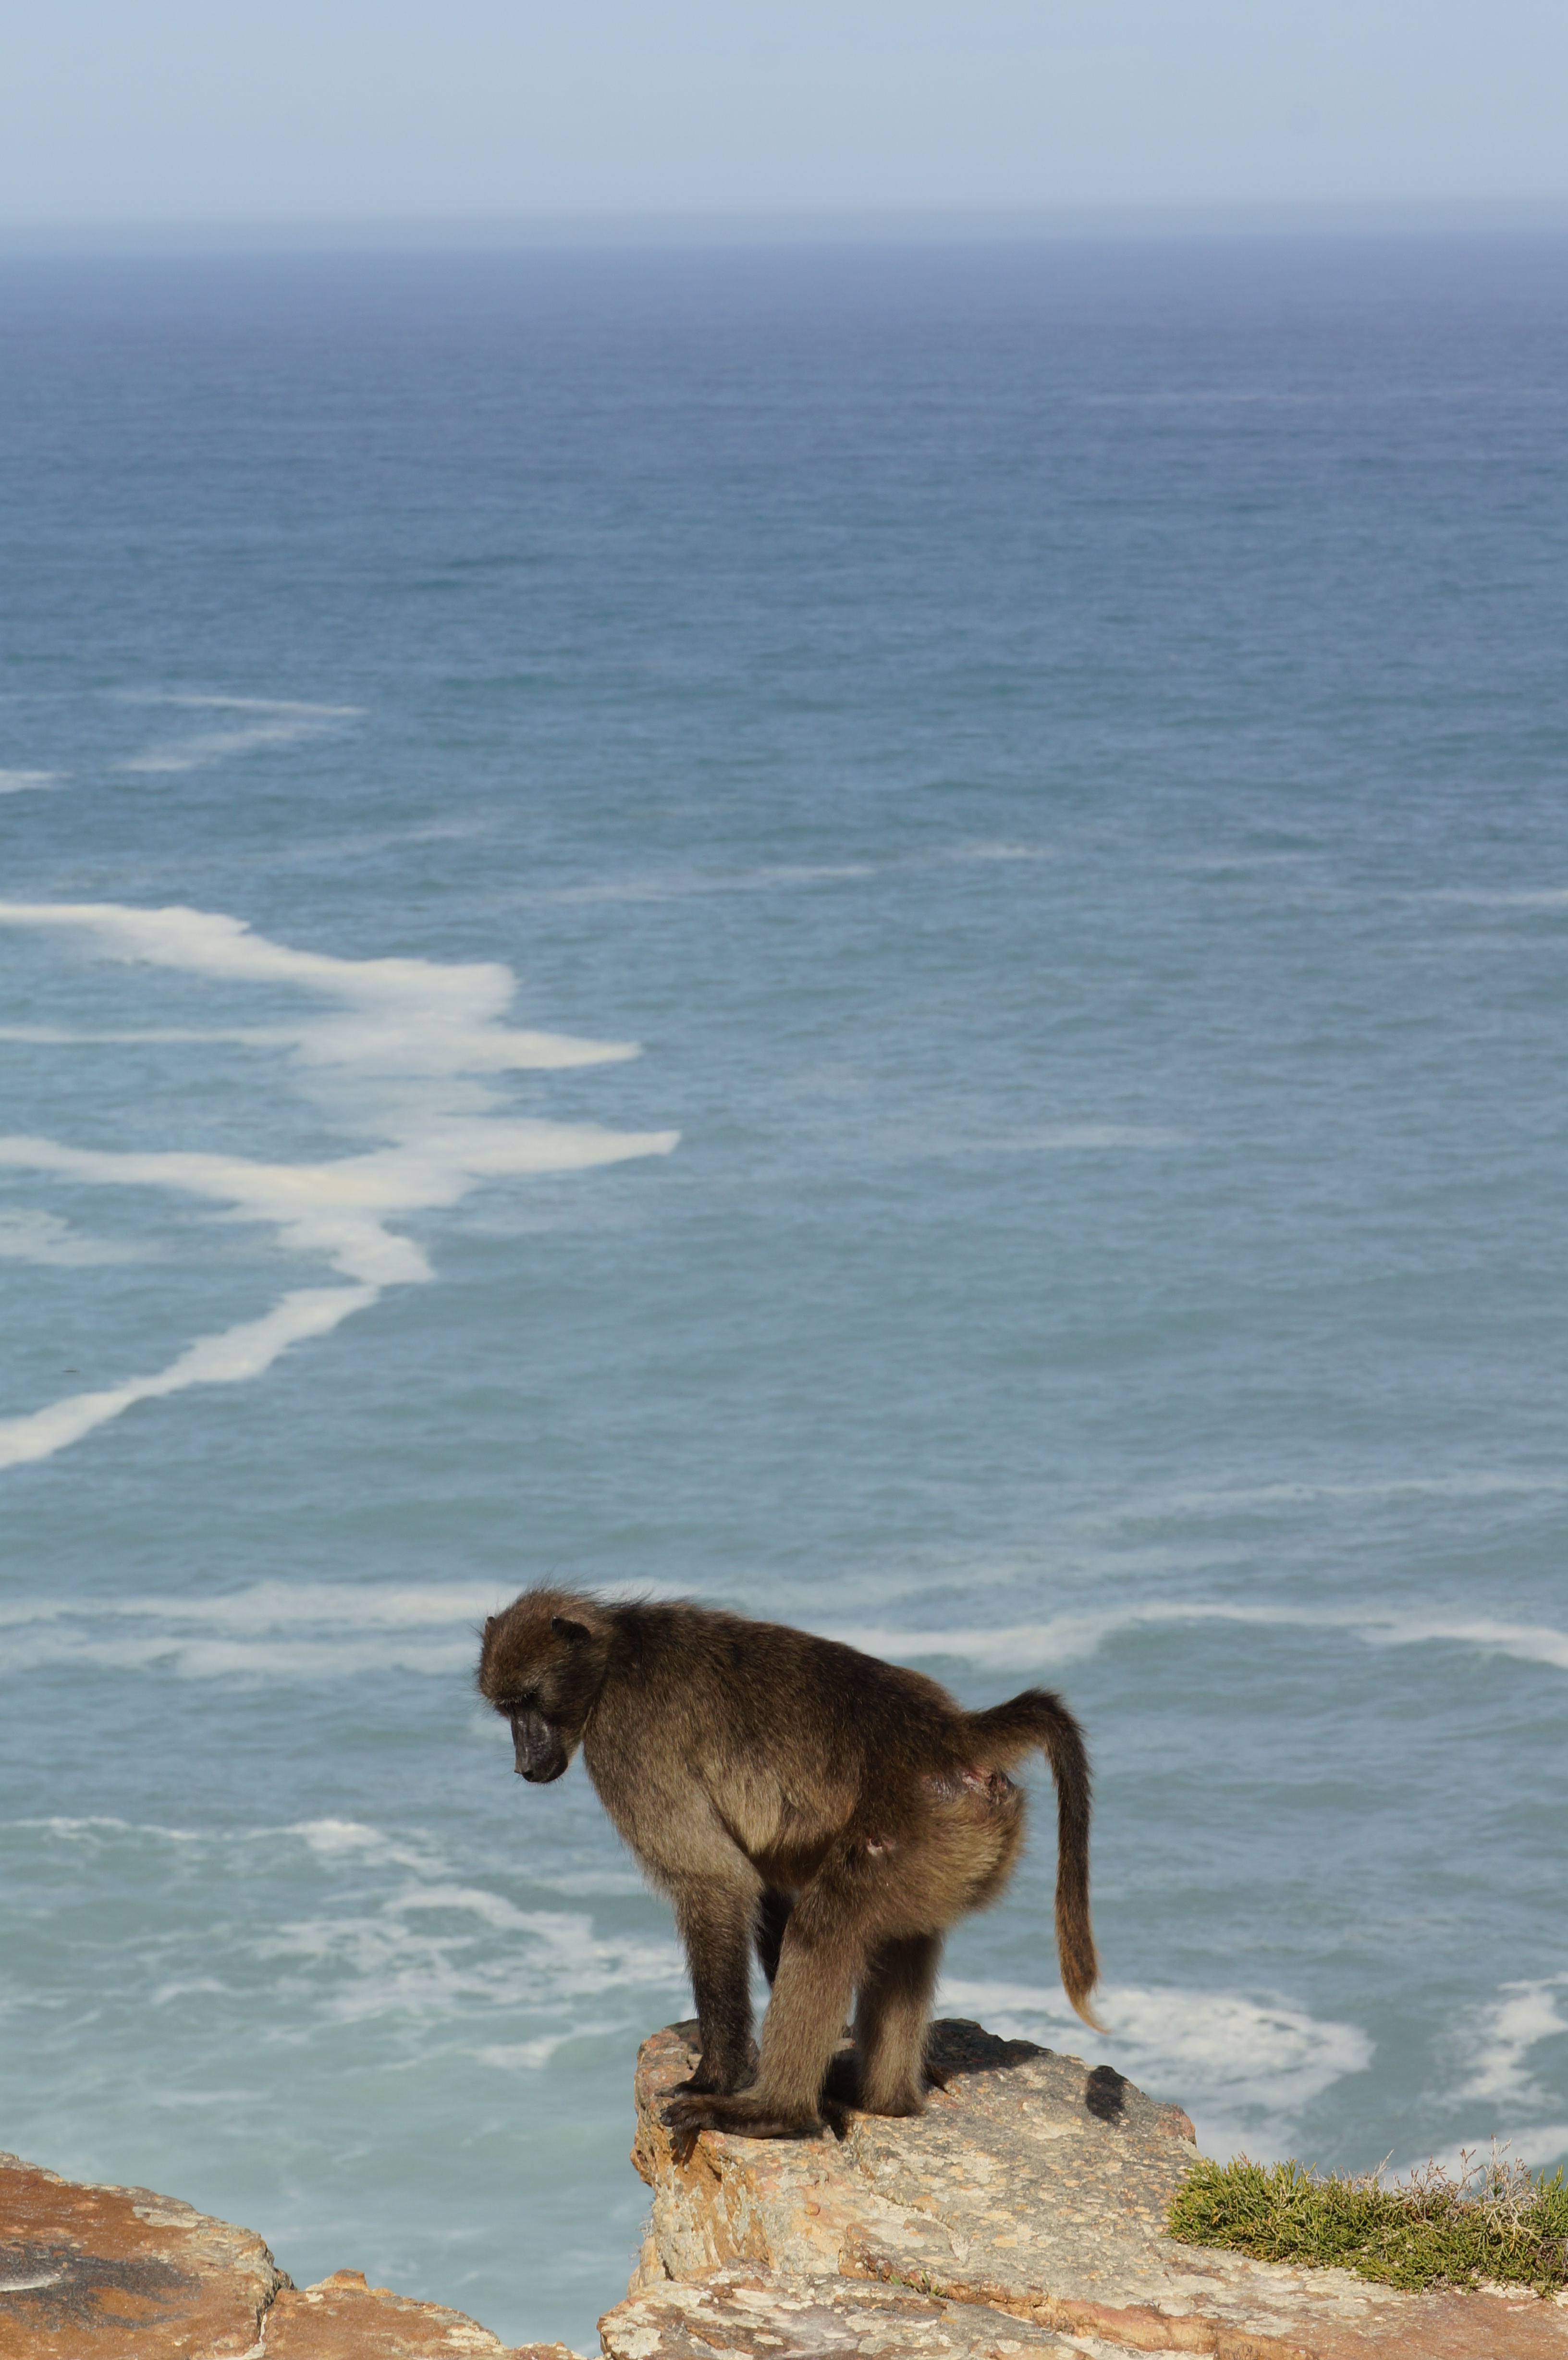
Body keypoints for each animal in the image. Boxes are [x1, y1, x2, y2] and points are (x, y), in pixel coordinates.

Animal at [476, 1588, 1100, 2139]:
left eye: (529, 1700)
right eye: (507, 1710)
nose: (524, 1763)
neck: (613, 1653)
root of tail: (946, 1732)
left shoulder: (624, 1741)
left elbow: (717, 1880)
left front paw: (714, 2077)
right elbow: (766, 1886)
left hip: (906, 1828)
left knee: (822, 1929)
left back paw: (775, 2111)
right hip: (943, 1849)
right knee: (898, 1942)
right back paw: (881, 2097)